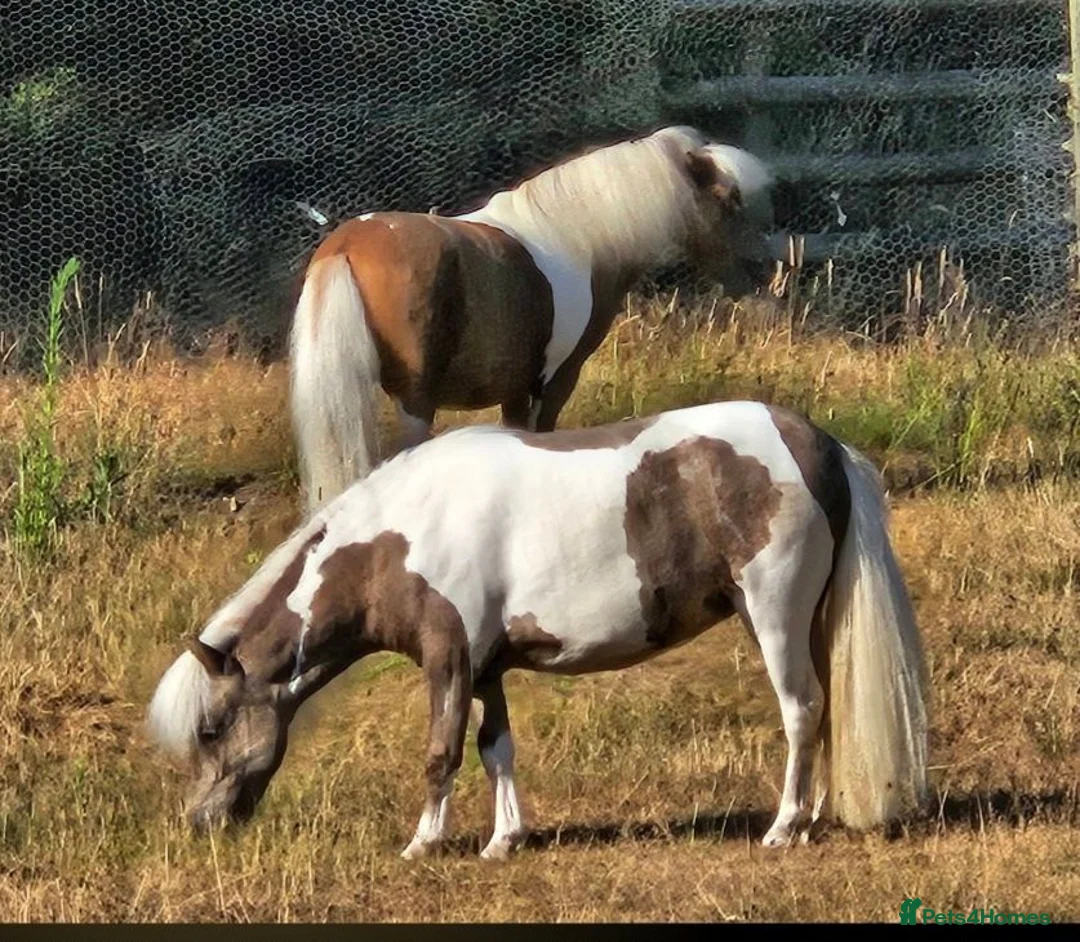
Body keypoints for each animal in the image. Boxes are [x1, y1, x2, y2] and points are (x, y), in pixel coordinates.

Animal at [147, 398, 928, 858]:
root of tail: (818, 443)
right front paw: (503, 840)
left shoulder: (448, 658)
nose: (199, 825)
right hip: (809, 621)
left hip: (773, 614)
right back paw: (815, 815)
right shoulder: (486, 667)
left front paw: (424, 844)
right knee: (824, 710)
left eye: (210, 730)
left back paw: (782, 827)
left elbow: (441, 754)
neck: (402, 534)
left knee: (800, 710)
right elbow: (496, 749)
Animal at [288, 125, 778, 512]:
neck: (580, 240)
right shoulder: (553, 380)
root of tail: (347, 244)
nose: (764, 276)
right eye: (727, 200)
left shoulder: (514, 389)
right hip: (415, 403)